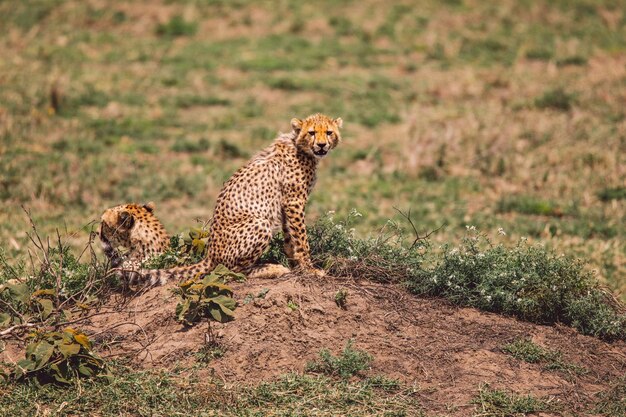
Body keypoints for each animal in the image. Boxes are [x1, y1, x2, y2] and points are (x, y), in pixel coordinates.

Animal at [133, 112, 344, 284]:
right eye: (312, 133)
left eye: (329, 132)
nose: (322, 145)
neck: (300, 146)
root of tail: (210, 254)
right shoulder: (294, 201)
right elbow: (301, 239)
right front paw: (310, 269)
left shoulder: (286, 204)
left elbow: (290, 238)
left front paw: (296, 265)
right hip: (259, 224)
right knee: (232, 272)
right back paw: (269, 269)